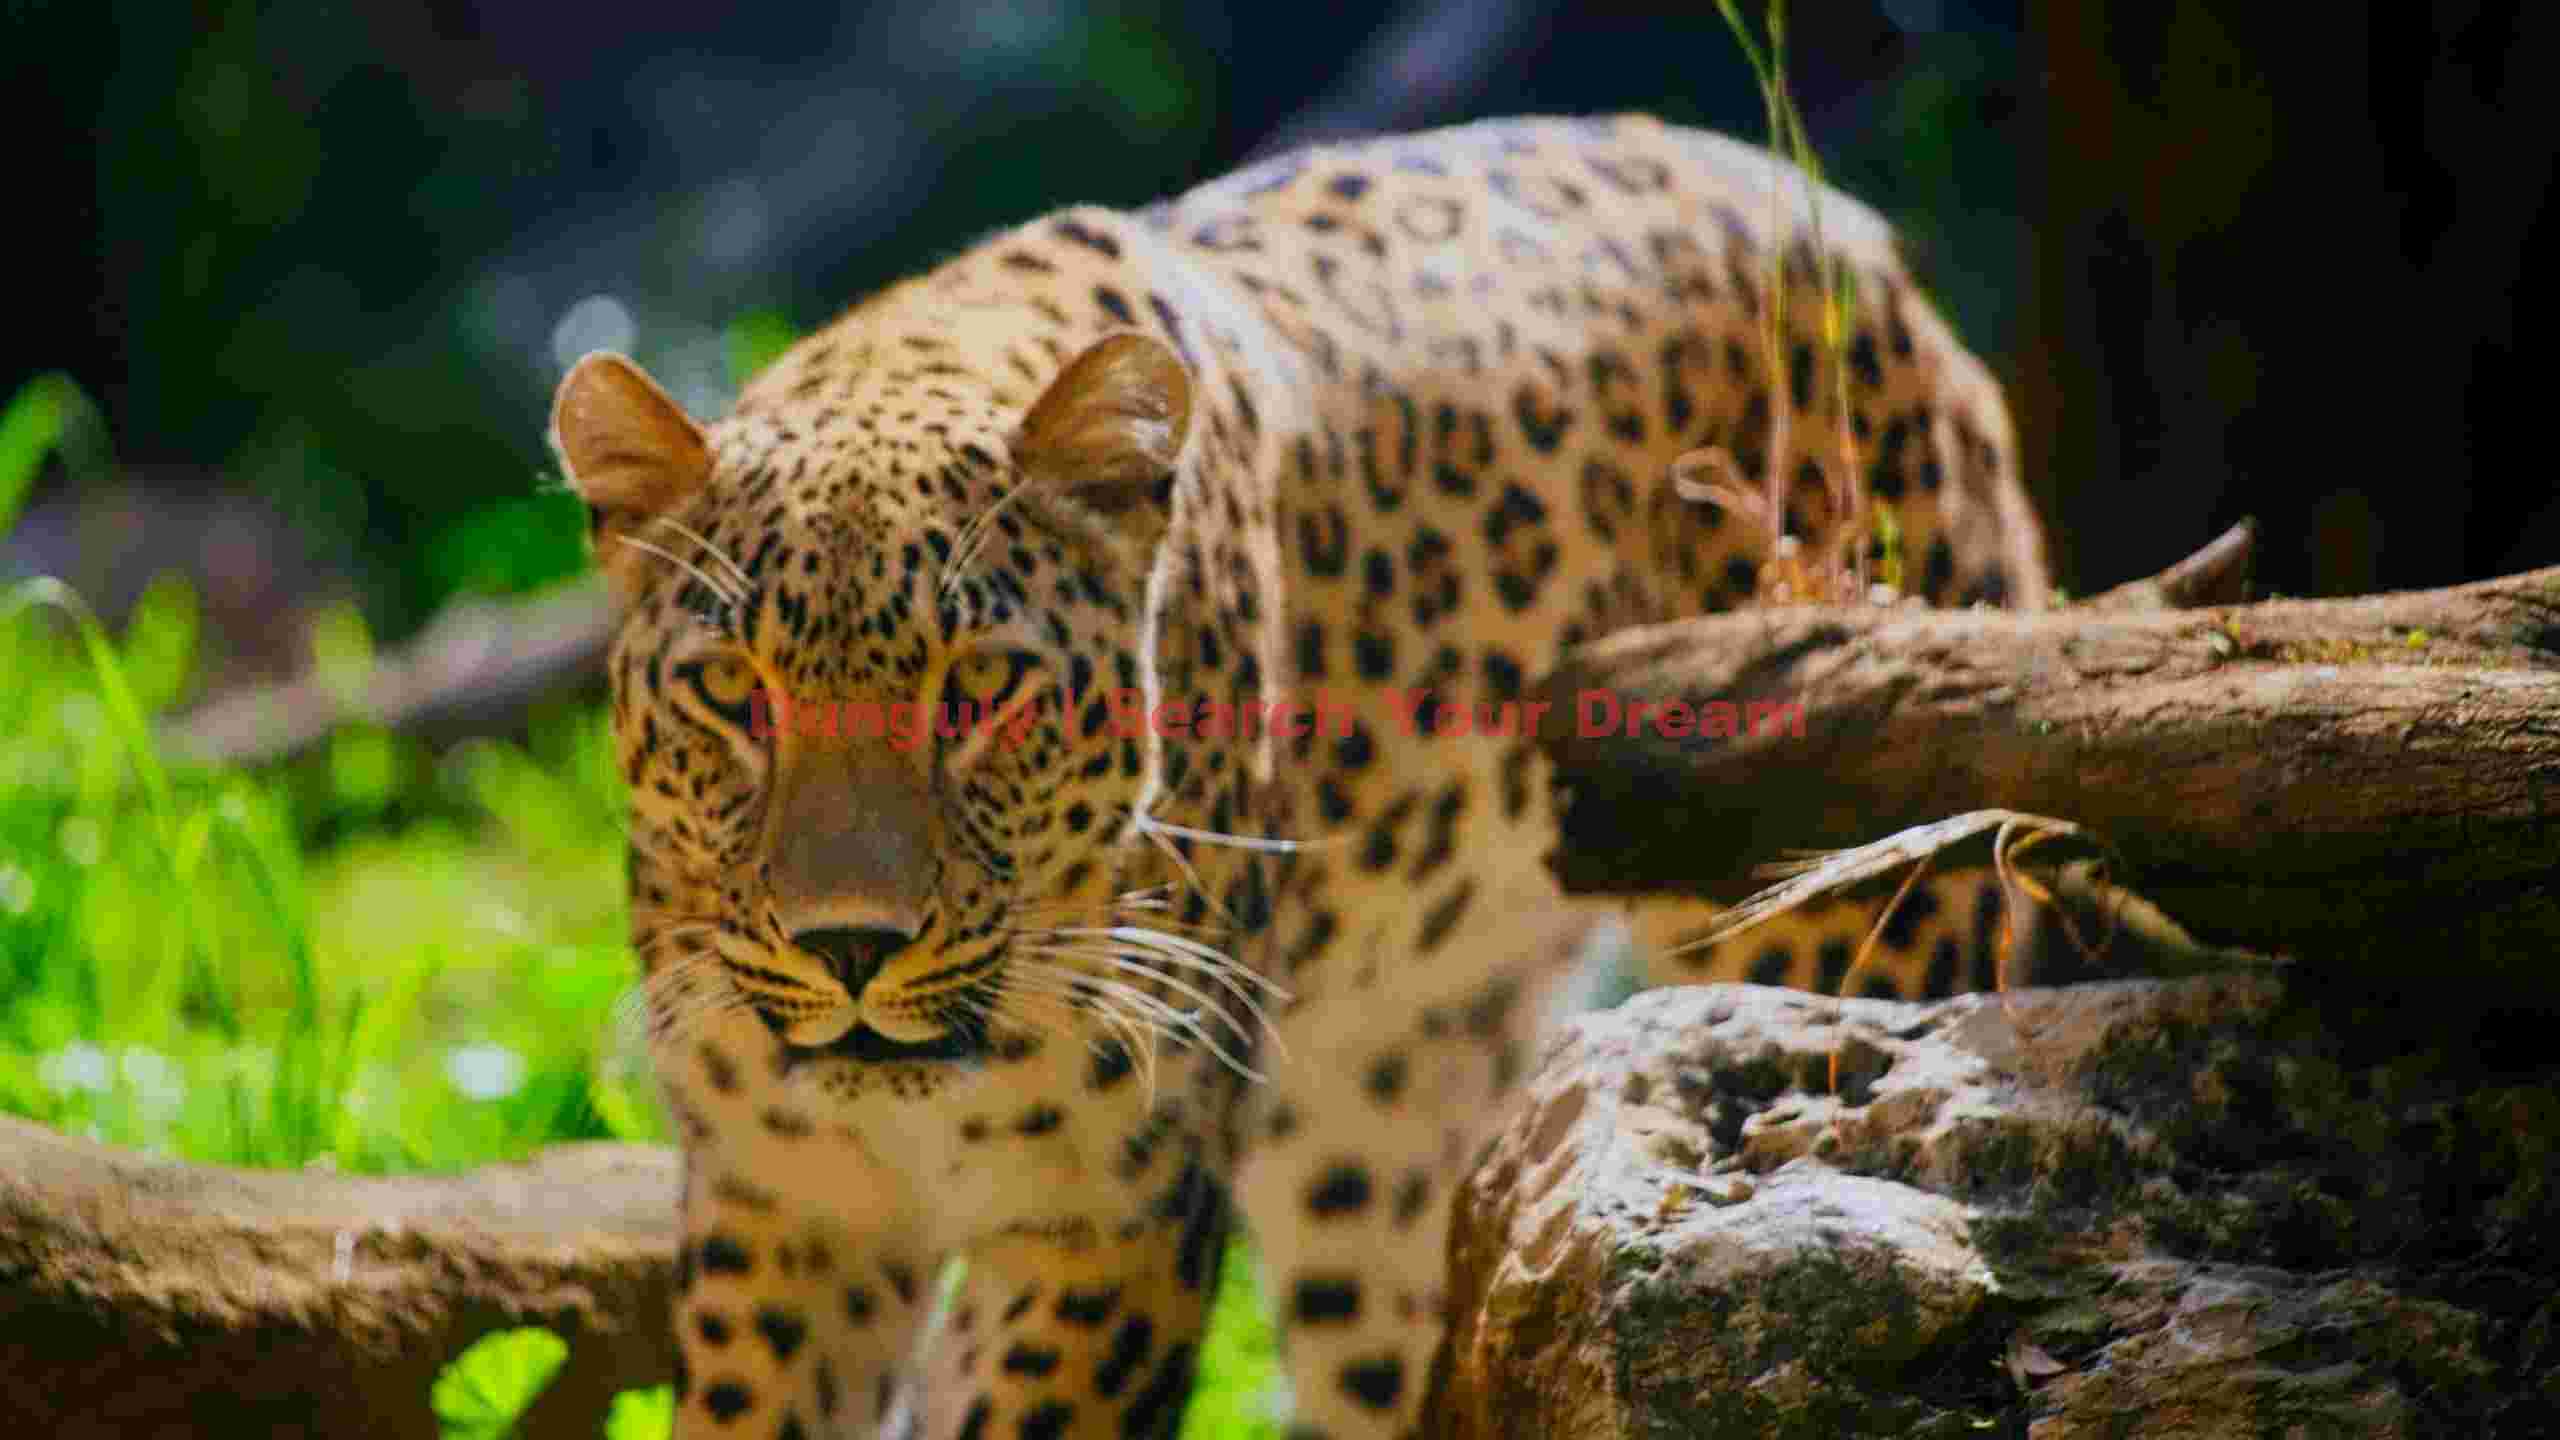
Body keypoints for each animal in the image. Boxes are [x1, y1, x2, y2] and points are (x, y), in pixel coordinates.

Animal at [549, 113, 2051, 1440]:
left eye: (979, 688)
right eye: (734, 693)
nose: (850, 947)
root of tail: (1855, 233)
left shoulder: (1112, 1216)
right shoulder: (784, 1212)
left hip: (1861, 909)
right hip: (1383, 1122)